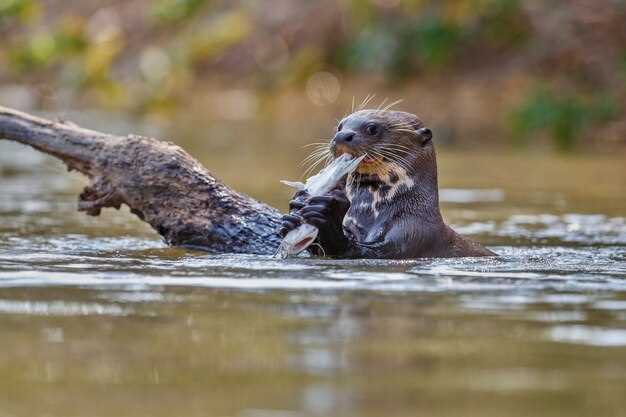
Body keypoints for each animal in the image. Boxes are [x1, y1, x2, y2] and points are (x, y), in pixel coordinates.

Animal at [278, 108, 492, 256]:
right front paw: (295, 208)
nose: (341, 136)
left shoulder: (411, 234)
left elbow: (361, 251)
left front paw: (327, 212)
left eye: (372, 128)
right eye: (339, 126)